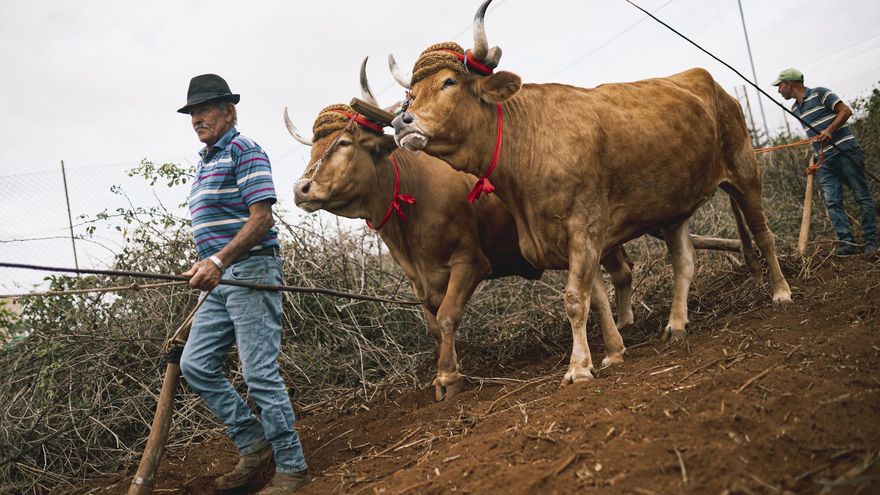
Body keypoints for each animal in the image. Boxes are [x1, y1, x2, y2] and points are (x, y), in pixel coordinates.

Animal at [285, 79, 635, 400]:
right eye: (314, 148)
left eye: (344, 142)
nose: (301, 189)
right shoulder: (419, 279)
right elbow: (433, 327)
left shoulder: (470, 262)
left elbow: (447, 316)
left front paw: (448, 377)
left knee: (620, 271)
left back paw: (624, 325)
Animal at [390, 0, 792, 385]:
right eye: (412, 93)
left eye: (448, 82)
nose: (400, 122)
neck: (529, 144)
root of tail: (710, 82)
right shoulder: (575, 239)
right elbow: (596, 298)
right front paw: (613, 352)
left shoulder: (584, 227)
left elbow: (575, 299)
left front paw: (579, 366)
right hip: (673, 210)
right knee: (685, 261)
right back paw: (677, 323)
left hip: (744, 171)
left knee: (763, 234)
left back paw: (781, 292)